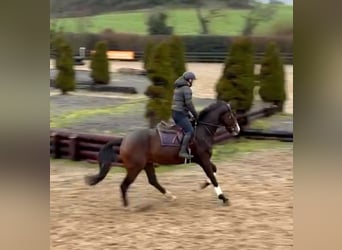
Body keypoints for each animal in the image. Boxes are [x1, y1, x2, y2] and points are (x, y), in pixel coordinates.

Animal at [85, 99, 240, 207]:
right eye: (231, 116)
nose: (237, 130)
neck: (202, 131)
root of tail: (125, 139)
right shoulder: (203, 159)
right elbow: (213, 176)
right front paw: (223, 198)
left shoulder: (202, 159)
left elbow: (214, 171)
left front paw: (203, 185)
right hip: (135, 168)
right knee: (124, 185)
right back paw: (127, 206)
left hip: (147, 164)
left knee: (153, 181)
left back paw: (170, 196)